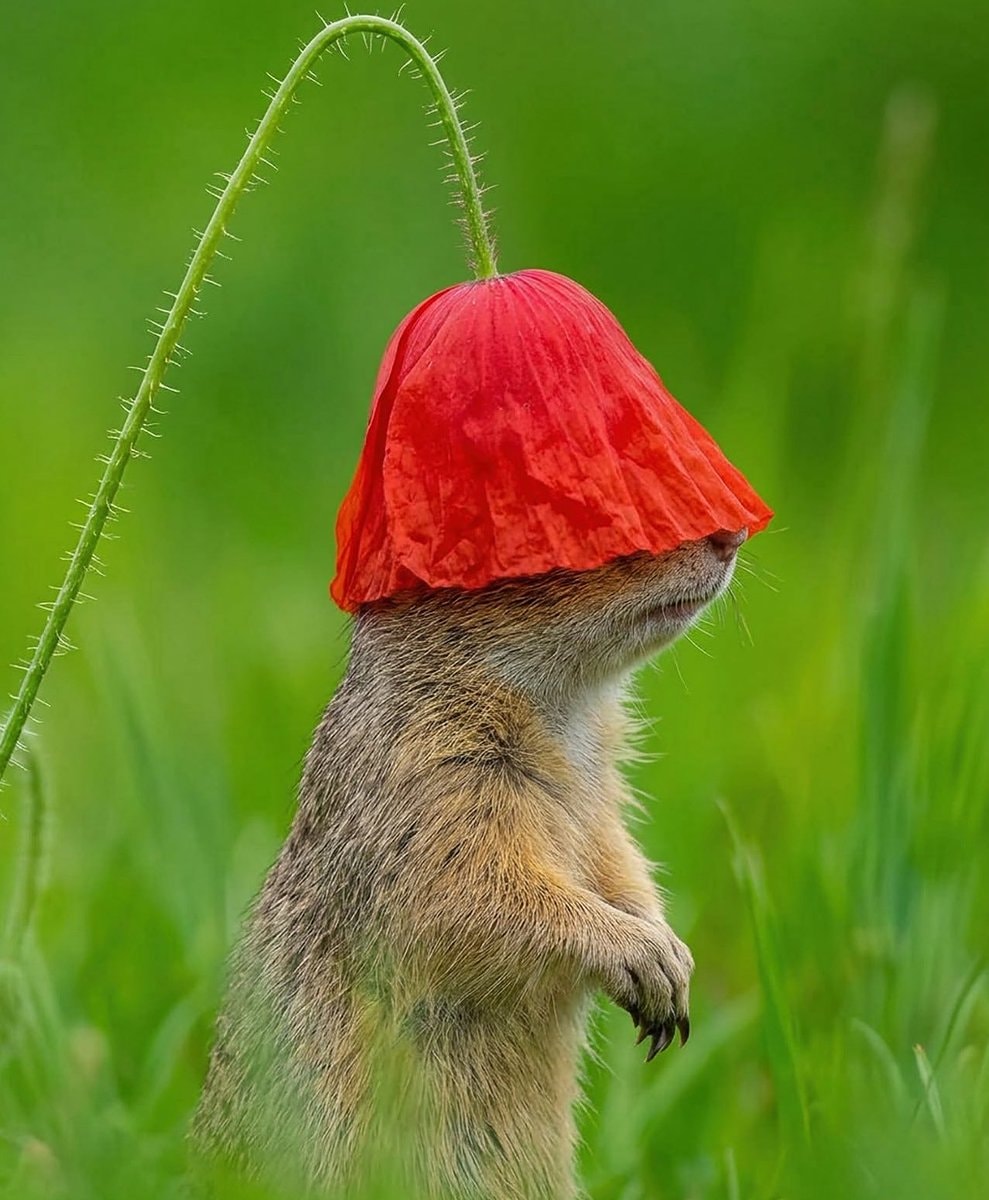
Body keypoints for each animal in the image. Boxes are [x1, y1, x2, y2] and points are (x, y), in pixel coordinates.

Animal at [192, 527, 746, 1199]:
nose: (732, 537)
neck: (564, 714)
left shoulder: (602, 813)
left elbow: (621, 866)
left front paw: (669, 951)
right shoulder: (428, 788)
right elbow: (472, 901)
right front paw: (641, 953)